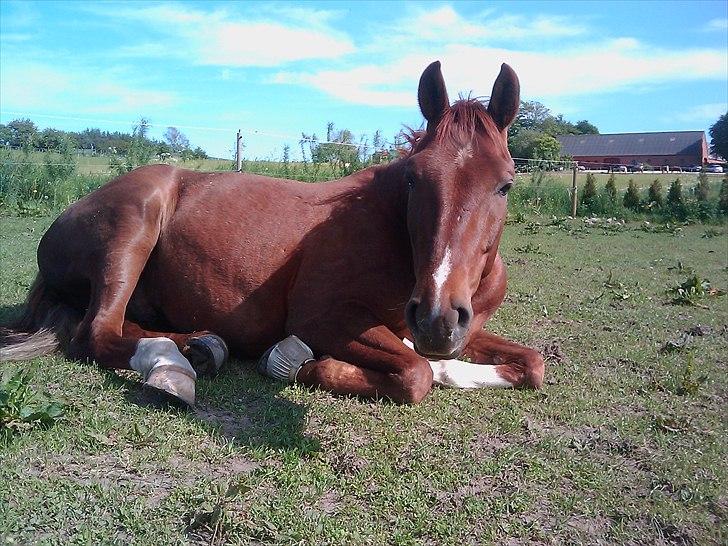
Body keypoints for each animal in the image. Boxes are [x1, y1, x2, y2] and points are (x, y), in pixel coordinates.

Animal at [0, 61, 544, 406]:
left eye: (505, 184)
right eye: (414, 178)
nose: (436, 317)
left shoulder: (455, 331)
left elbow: (530, 364)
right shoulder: (325, 317)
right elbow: (416, 374)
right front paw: (301, 364)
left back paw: (200, 347)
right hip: (131, 233)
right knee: (98, 333)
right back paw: (173, 366)